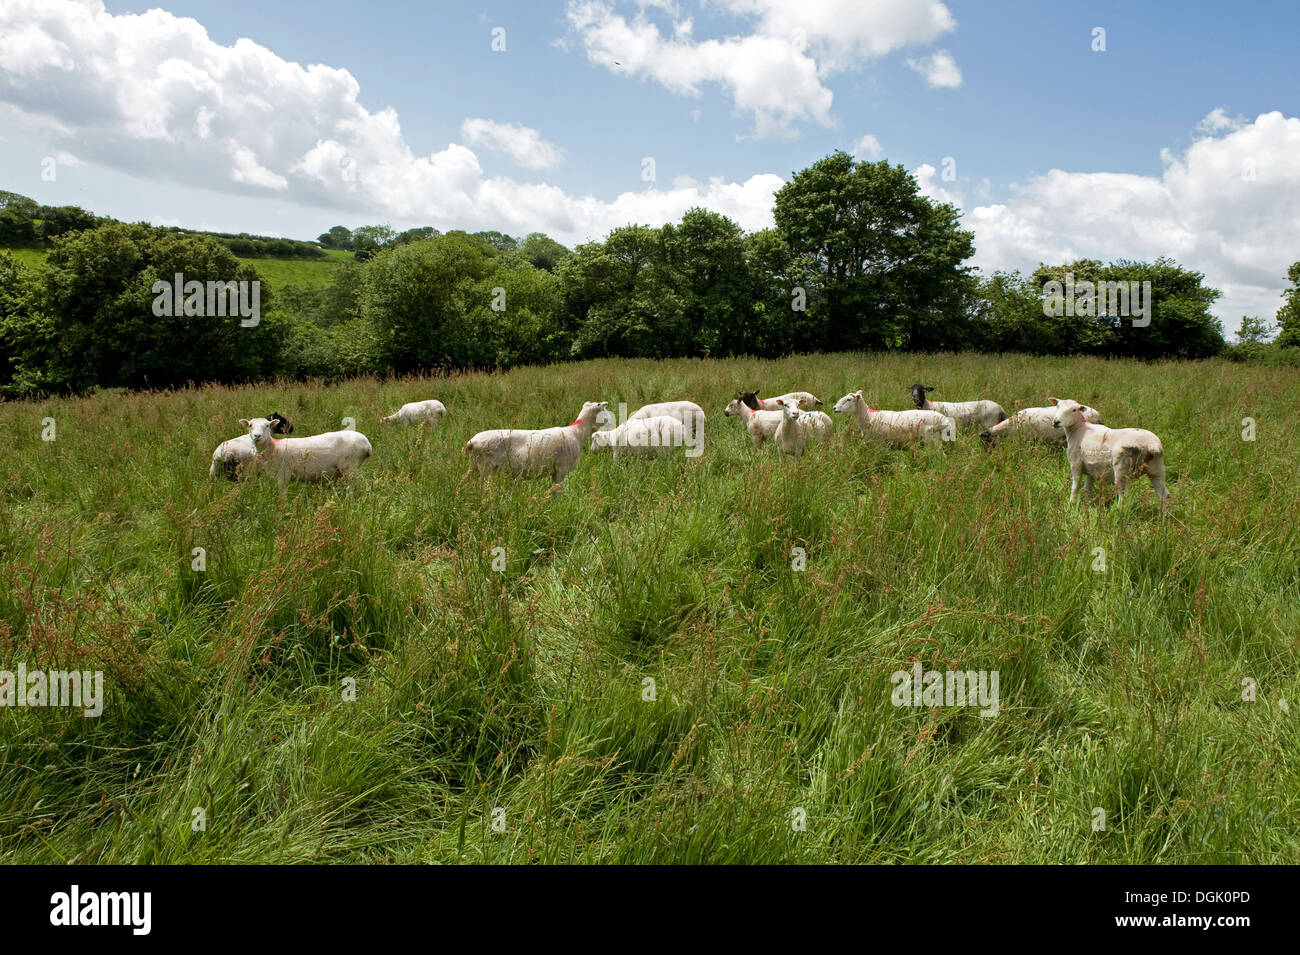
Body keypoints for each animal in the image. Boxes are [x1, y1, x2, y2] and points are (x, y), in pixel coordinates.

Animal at [239, 415, 374, 488]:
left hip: (350, 466)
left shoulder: (283, 475)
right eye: (250, 425)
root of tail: (367, 444)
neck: (273, 449)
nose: (257, 436)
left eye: (267, 426)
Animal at [467, 400, 608, 485]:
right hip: (486, 469)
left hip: (474, 466)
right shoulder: (561, 468)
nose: (609, 421)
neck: (577, 432)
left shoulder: (555, 471)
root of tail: (472, 442)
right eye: (604, 410)